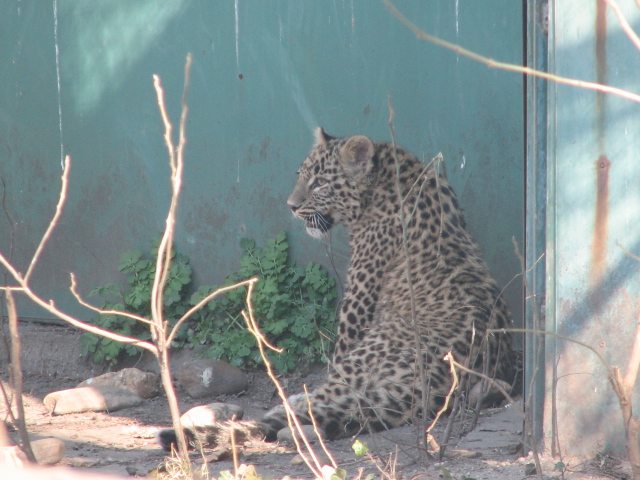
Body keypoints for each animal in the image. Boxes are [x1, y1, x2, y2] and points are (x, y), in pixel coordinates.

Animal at [157, 128, 517, 451]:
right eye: (301, 176)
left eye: (319, 183)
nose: (290, 206)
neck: (387, 178)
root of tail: (432, 389)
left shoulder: (356, 311)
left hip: (362, 360)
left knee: (315, 404)